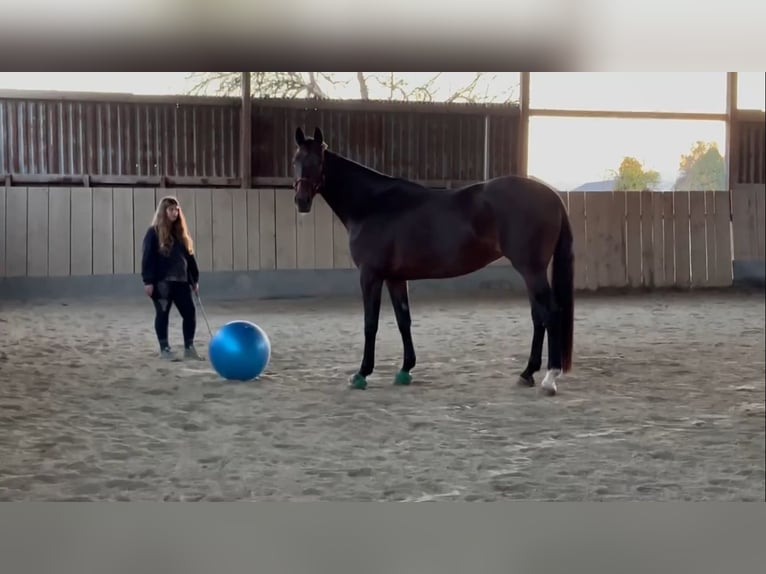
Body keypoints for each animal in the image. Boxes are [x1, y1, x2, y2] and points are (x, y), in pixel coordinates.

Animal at [294, 126, 576, 398]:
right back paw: (527, 373)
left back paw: (550, 378)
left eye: (317, 161)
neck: (373, 204)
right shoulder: (395, 278)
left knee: (551, 313)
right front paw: (405, 370)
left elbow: (370, 324)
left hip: (532, 270)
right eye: (296, 160)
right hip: (530, 272)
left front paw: (361, 374)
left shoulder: (370, 276)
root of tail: (551, 195)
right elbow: (403, 320)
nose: (301, 201)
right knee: (538, 317)